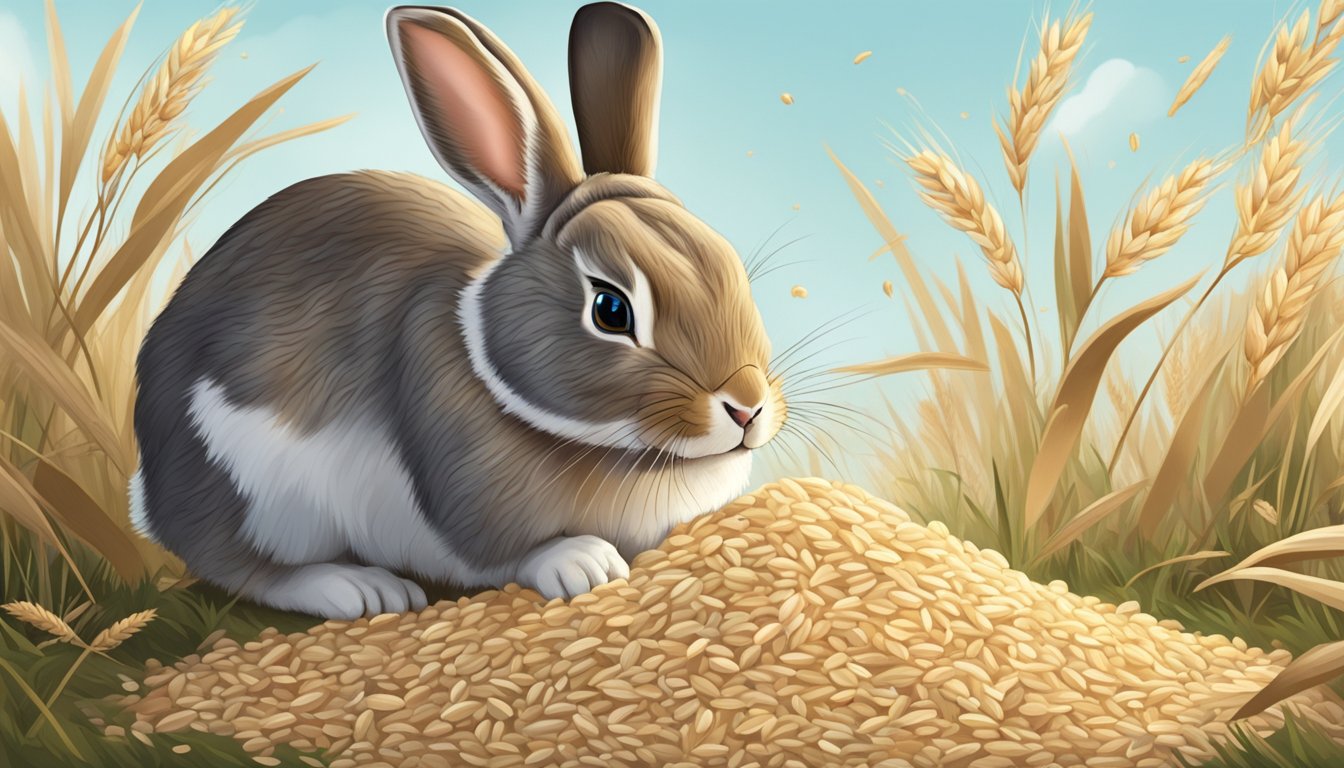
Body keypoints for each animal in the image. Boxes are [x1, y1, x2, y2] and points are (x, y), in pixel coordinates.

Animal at [128, 2, 788, 620]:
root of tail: (151, 491)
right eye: (610, 309)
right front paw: (585, 563)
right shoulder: (461, 487)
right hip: (254, 490)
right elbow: (504, 552)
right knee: (241, 566)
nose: (746, 406)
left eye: (729, 265)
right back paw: (359, 589)